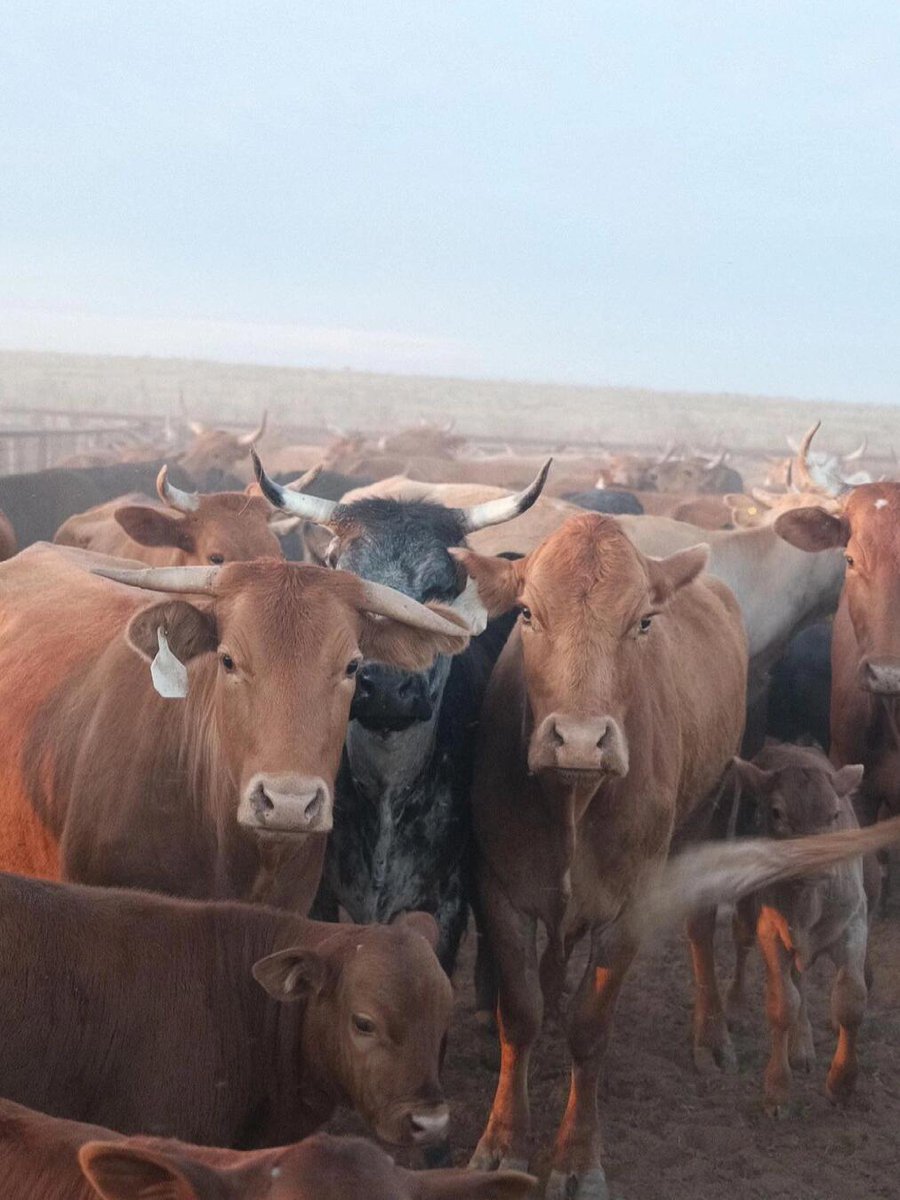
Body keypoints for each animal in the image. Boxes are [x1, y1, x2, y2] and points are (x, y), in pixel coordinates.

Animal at [252, 453, 549, 983]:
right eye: (341, 575)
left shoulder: (446, 907)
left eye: (442, 587)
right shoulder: (321, 896)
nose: (388, 688)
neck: (388, 790)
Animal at [728, 743, 875, 1113]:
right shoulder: (770, 930)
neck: (808, 900)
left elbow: (850, 1000)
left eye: (835, 815)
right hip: (745, 905)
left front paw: (842, 1081)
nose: (818, 859)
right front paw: (777, 1089)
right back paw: (735, 1007)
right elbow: (783, 1004)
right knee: (742, 944)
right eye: (777, 813)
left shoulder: (854, 922)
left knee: (801, 977)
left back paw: (803, 1046)